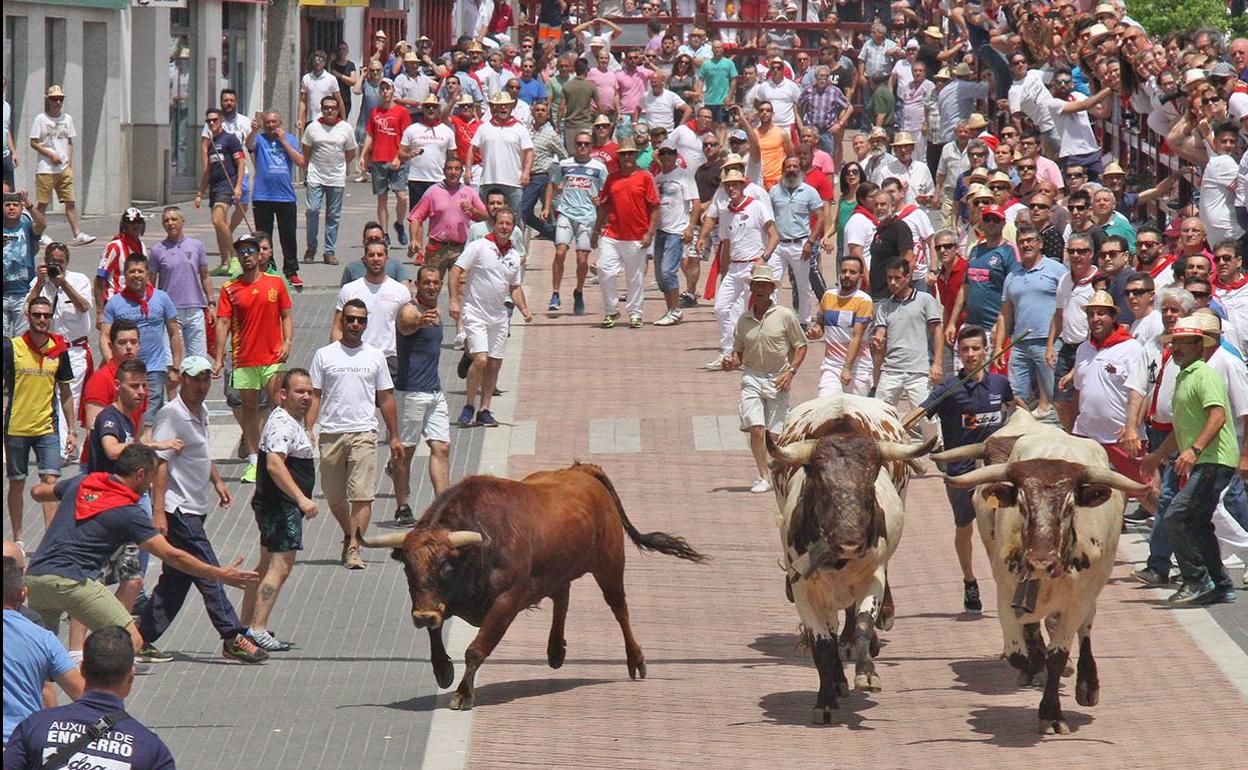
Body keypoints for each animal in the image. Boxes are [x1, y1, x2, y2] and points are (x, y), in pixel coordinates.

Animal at [364, 461, 713, 708]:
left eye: (446, 566)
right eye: (408, 568)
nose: (421, 617)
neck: (479, 547)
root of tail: (581, 470)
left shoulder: (506, 602)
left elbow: (476, 649)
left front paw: (463, 694)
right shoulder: (443, 602)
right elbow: (436, 635)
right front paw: (442, 671)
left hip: (610, 565)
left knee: (619, 608)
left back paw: (635, 660)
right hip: (559, 567)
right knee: (562, 596)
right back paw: (555, 650)